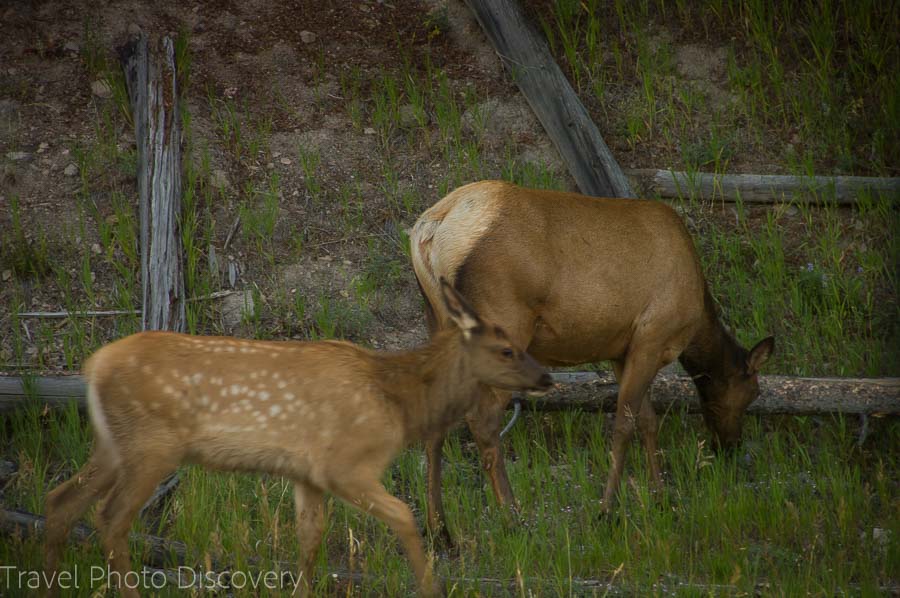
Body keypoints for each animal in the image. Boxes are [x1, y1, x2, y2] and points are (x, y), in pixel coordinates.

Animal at [44, 282, 556, 598]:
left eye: (520, 345)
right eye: (506, 349)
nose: (547, 377)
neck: (398, 401)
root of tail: (94, 366)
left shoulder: (307, 474)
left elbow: (309, 539)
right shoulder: (346, 464)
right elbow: (403, 516)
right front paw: (431, 587)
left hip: (114, 445)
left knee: (61, 500)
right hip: (151, 446)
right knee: (110, 516)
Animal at [414, 180, 772, 548]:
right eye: (753, 393)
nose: (730, 445)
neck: (697, 319)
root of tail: (431, 230)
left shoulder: (622, 351)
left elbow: (648, 421)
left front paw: (660, 500)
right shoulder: (652, 335)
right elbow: (625, 423)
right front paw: (607, 511)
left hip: (437, 321)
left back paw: (439, 529)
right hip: (502, 324)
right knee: (483, 420)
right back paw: (513, 519)